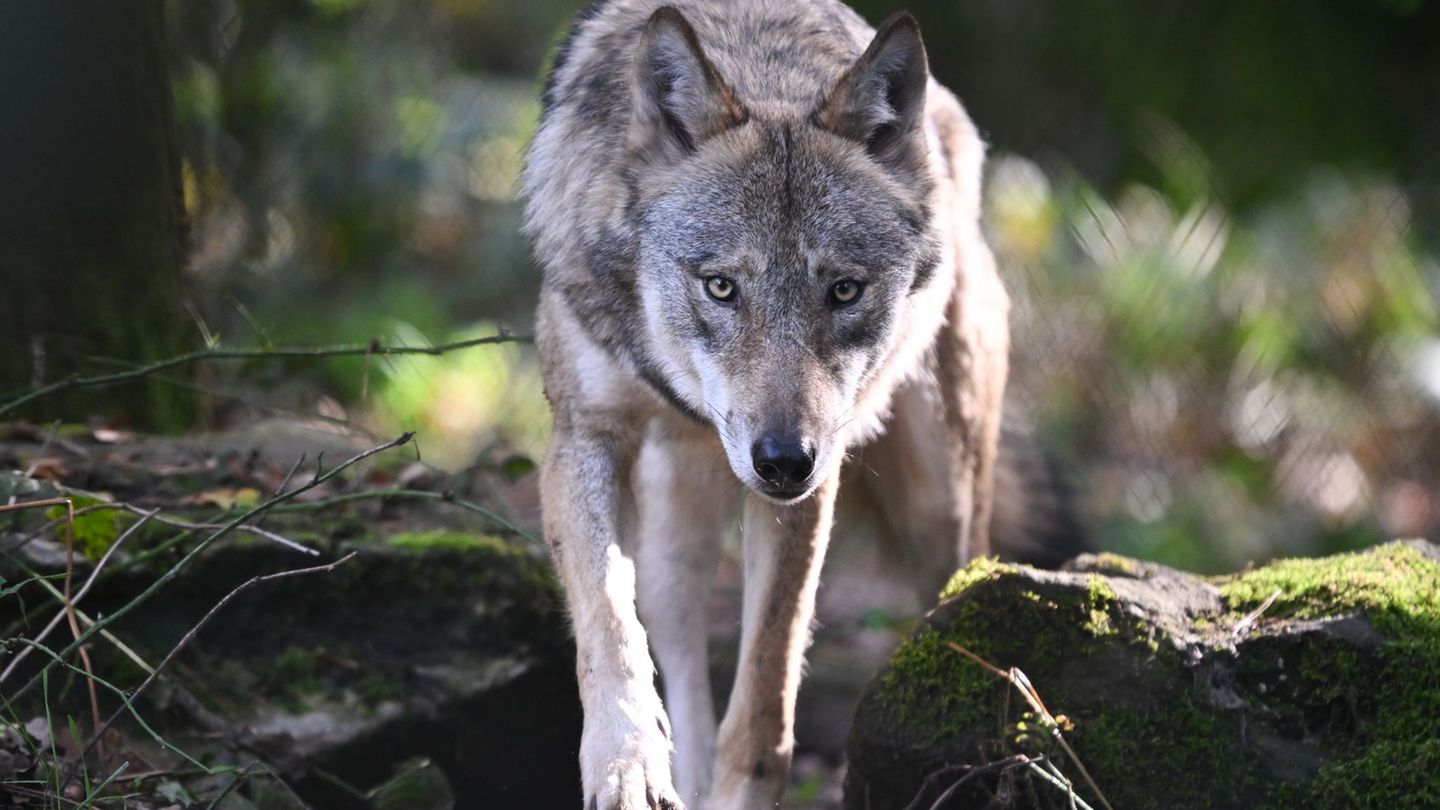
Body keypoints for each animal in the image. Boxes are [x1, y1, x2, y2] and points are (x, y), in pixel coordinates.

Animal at [522, 1, 1047, 807]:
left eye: (844, 290)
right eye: (721, 287)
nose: (781, 459)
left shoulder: (808, 490)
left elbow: (763, 701)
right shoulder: (583, 437)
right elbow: (608, 617)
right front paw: (627, 762)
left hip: (941, 496)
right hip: (678, 521)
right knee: (671, 630)